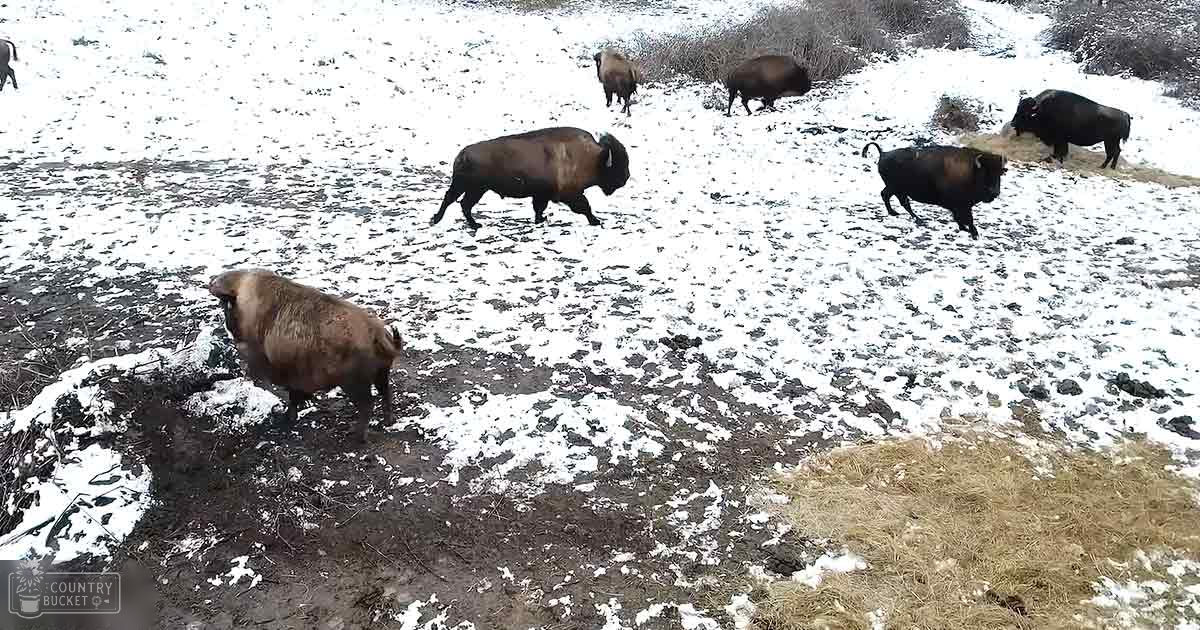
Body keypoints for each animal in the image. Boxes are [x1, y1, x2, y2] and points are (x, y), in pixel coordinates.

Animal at [208, 268, 403, 443]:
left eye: (226, 307)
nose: (229, 327)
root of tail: (377, 331)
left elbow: (289, 394)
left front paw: (288, 418)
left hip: (355, 383)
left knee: (368, 404)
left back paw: (356, 438)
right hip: (381, 373)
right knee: (385, 393)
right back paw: (387, 423)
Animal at [431, 127, 630, 229]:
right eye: (618, 165)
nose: (626, 177)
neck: (592, 158)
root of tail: (462, 154)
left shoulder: (542, 194)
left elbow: (539, 208)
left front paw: (540, 220)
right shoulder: (570, 194)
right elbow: (585, 207)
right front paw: (596, 221)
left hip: (472, 188)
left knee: (459, 202)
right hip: (472, 188)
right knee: (456, 201)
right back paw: (453, 222)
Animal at [862, 142, 1007, 240]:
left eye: (1000, 173)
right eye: (984, 173)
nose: (994, 192)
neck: (971, 171)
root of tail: (883, 154)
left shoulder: (961, 205)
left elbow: (961, 218)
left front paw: (965, 229)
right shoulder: (962, 205)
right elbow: (968, 218)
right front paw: (974, 233)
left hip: (895, 188)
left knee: (891, 197)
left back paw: (899, 214)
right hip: (895, 188)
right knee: (896, 199)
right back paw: (915, 218)